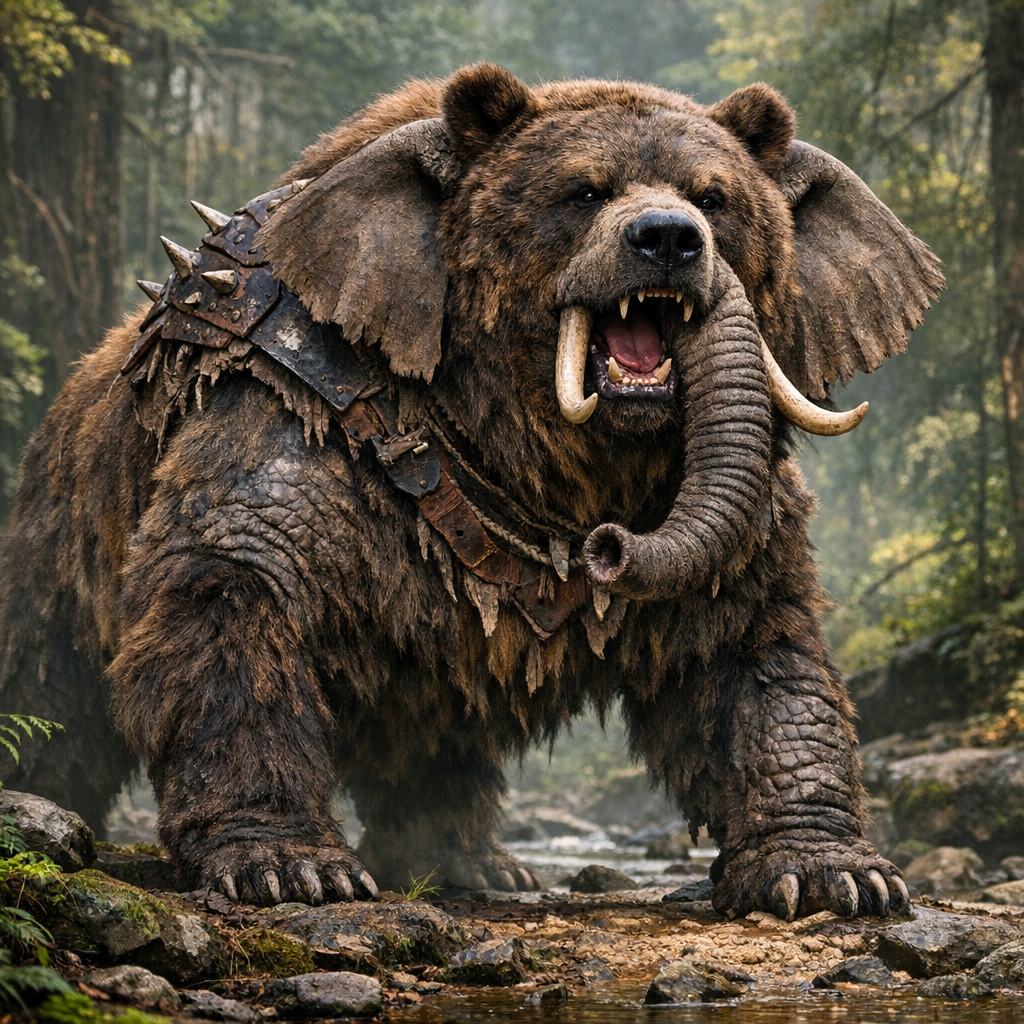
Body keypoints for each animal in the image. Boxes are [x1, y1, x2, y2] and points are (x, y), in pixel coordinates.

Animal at [0, 63, 943, 919]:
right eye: (584, 189)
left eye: (714, 198)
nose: (668, 239)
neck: (530, 445)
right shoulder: (312, 412)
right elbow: (233, 587)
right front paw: (287, 864)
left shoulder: (725, 514)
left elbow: (753, 650)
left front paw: (832, 873)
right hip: (60, 530)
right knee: (48, 685)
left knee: (435, 738)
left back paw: (476, 862)